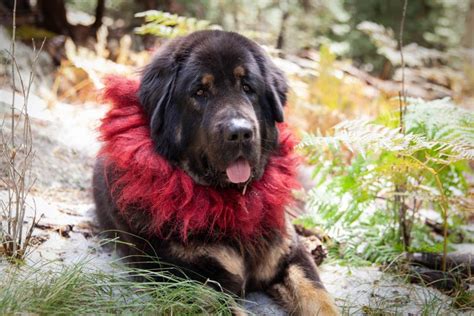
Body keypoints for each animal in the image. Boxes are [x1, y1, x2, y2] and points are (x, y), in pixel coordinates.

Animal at [91, 30, 336, 316]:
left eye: (248, 88)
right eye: (200, 92)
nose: (240, 132)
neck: (233, 202)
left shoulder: (291, 257)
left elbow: (320, 299)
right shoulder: (194, 282)